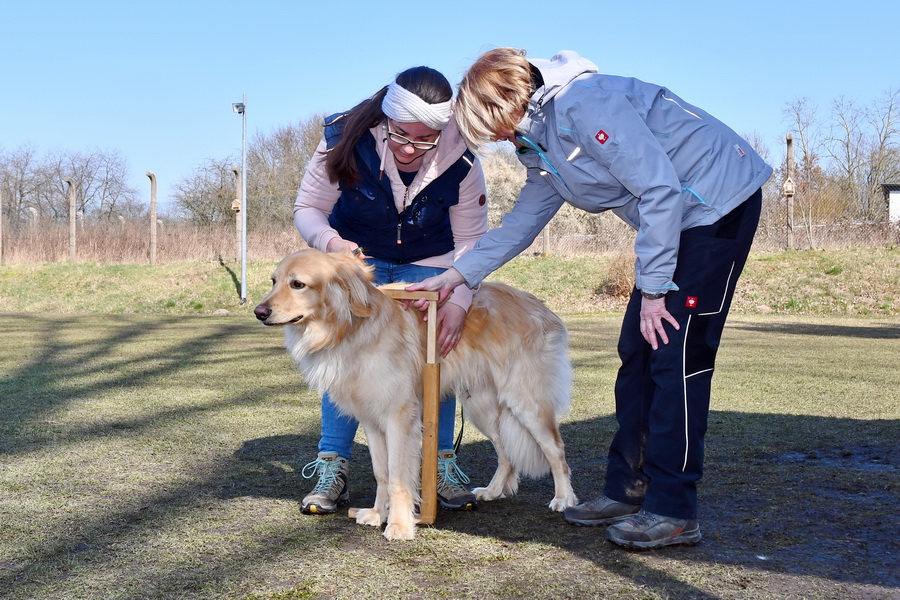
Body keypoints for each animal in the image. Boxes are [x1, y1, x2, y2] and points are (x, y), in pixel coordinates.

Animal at [253, 248, 576, 540]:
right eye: (273, 281)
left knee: (556, 450)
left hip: (526, 403)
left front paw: (399, 525)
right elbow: (382, 473)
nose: (259, 312)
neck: (350, 330)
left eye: (298, 284)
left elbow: (398, 476)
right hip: (482, 409)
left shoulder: (399, 417)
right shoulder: (371, 421)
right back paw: (494, 491)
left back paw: (564, 499)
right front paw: (377, 514)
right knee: (506, 452)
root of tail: (541, 307)